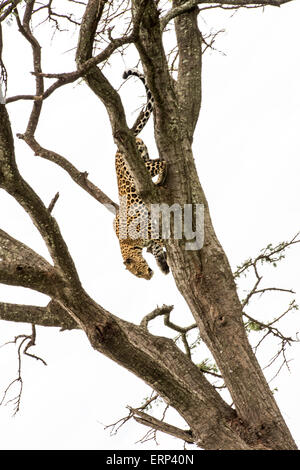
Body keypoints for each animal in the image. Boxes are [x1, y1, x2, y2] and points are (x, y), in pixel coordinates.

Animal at [113, 67, 169, 280]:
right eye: (137, 275)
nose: (148, 277)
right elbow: (157, 247)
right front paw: (163, 265)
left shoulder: (147, 228)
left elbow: (157, 237)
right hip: (143, 154)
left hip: (138, 167)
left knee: (161, 162)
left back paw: (161, 177)